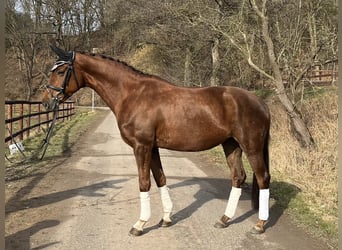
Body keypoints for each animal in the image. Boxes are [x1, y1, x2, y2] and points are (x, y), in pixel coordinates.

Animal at [42, 46, 270, 235]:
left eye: (61, 72)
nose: (46, 102)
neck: (132, 94)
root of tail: (260, 102)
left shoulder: (141, 146)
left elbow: (144, 182)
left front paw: (140, 224)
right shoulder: (152, 148)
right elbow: (160, 179)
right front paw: (166, 219)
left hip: (252, 147)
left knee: (263, 178)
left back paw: (259, 225)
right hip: (231, 145)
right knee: (238, 177)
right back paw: (224, 219)